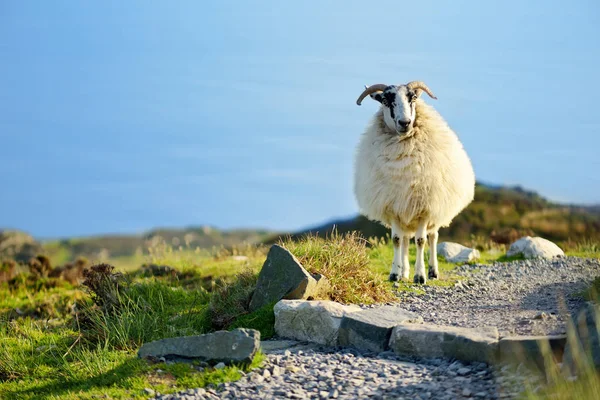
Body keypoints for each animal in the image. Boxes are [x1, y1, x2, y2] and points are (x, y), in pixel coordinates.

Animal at [354, 80, 476, 284]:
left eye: (413, 98)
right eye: (386, 100)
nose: (405, 123)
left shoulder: (424, 209)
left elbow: (421, 241)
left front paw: (420, 276)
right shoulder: (394, 206)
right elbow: (396, 240)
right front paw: (395, 274)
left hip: (436, 210)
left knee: (433, 237)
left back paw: (433, 271)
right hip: (405, 212)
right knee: (404, 240)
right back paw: (404, 272)